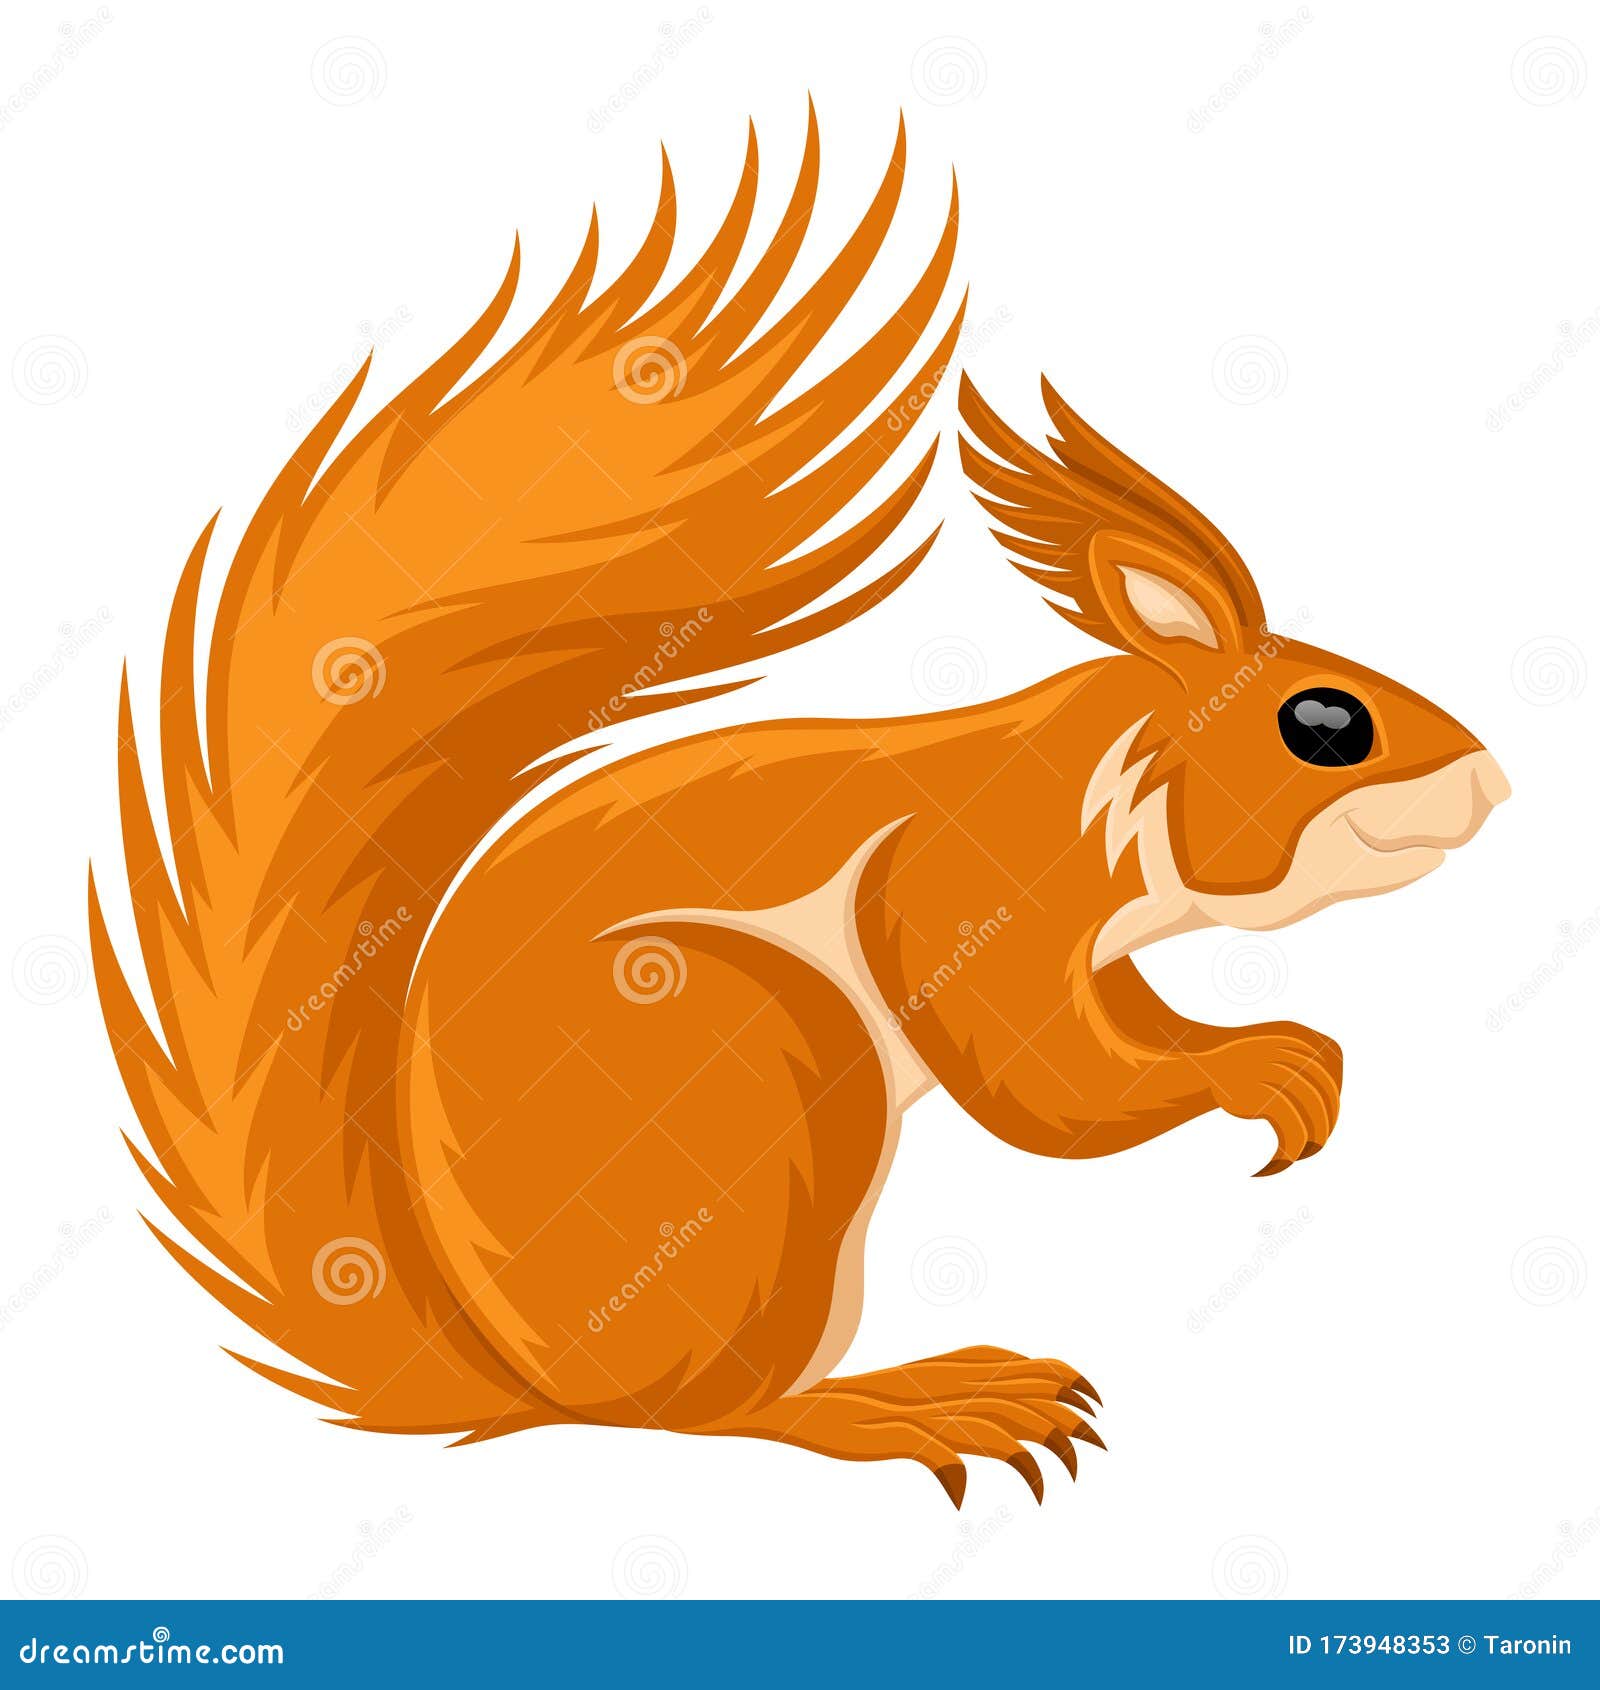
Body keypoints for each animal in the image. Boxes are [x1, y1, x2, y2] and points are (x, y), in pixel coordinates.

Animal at [91, 114, 1508, 1509]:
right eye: (1323, 724)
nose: (1493, 781)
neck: (1117, 775)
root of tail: (515, 1374)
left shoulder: (1096, 944)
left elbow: (1123, 1024)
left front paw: (1282, 1053)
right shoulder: (973, 882)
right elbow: (1050, 1085)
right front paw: (1247, 1066)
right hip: (757, 1064)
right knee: (714, 1412)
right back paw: (916, 1403)